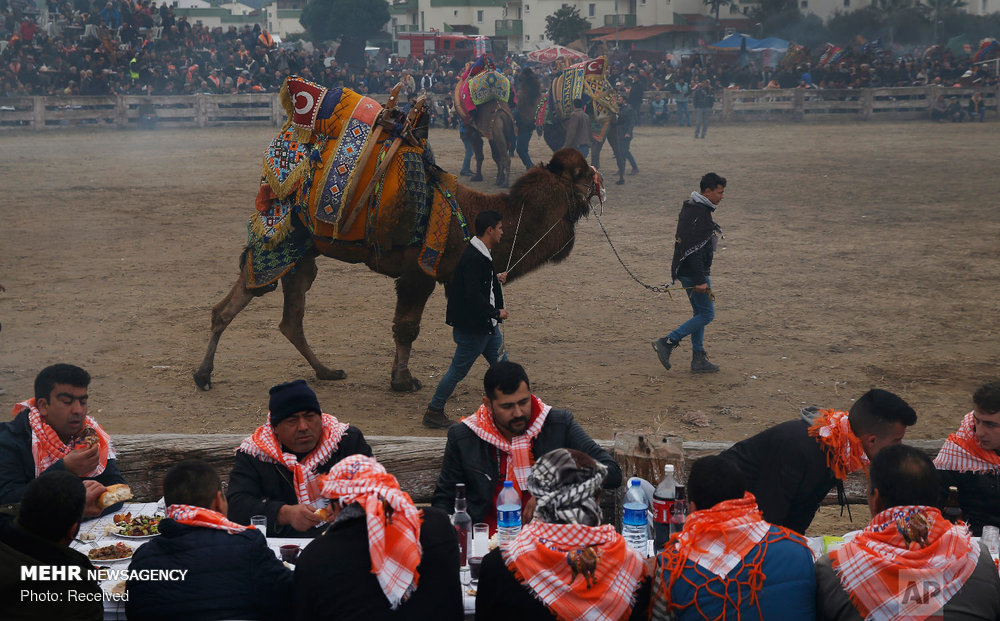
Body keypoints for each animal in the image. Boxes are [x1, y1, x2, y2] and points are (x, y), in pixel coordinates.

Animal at [194, 147, 600, 390]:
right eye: (581, 172)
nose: (598, 181)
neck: (471, 216)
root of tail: (275, 188)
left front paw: (399, 376)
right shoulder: (419, 273)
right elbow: (407, 328)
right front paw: (404, 380)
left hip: (301, 259)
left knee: (283, 317)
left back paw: (325, 372)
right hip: (280, 245)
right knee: (242, 299)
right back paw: (204, 374)